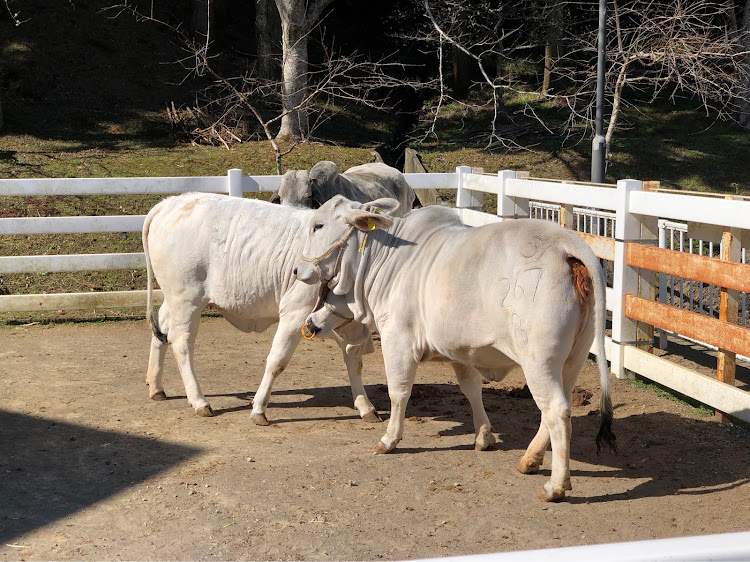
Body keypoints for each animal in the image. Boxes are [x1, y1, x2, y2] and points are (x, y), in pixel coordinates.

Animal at [143, 190, 382, 422]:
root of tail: (170, 203)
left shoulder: (340, 321)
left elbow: (354, 361)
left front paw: (365, 406)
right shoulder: (295, 314)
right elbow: (277, 361)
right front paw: (259, 409)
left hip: (173, 300)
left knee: (161, 330)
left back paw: (156, 387)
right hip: (186, 301)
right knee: (180, 342)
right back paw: (199, 401)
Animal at [296, 196, 620, 498]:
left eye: (318, 225)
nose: (299, 269)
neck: (389, 260)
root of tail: (566, 244)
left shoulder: (397, 338)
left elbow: (398, 392)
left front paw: (389, 439)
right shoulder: (461, 352)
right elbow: (471, 389)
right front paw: (484, 436)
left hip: (538, 359)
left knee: (556, 409)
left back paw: (556, 485)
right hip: (573, 358)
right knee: (558, 406)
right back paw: (530, 459)